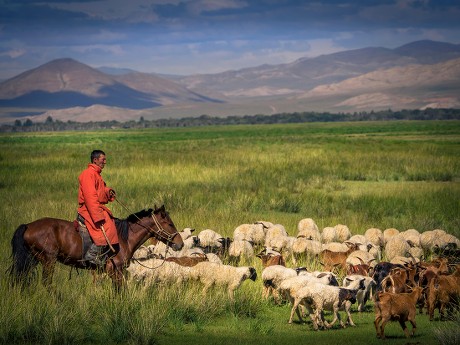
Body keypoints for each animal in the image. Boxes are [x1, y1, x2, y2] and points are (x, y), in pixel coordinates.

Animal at [9, 204, 183, 290]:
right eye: (169, 224)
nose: (180, 243)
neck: (125, 237)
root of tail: (28, 225)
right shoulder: (115, 271)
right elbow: (120, 291)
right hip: (48, 260)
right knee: (46, 283)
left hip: (33, 260)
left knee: (21, 279)